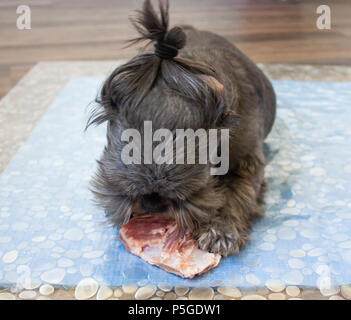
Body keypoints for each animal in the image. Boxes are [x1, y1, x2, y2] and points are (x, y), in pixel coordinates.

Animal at [86, 0, 276, 256]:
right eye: (125, 188)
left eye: (191, 191)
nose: (152, 204)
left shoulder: (247, 161)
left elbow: (237, 192)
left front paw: (220, 229)